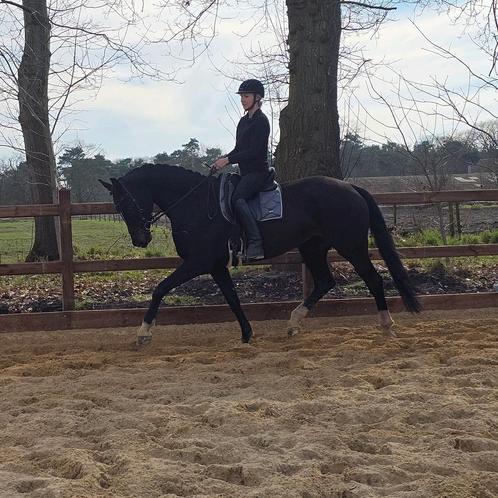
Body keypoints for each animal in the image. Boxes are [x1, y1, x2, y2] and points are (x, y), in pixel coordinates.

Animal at [100, 163, 420, 346]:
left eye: (127, 203)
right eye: (118, 207)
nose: (141, 240)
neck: (194, 204)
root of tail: (351, 187)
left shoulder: (199, 262)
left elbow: (160, 288)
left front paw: (143, 333)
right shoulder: (216, 266)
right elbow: (232, 298)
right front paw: (247, 334)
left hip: (350, 246)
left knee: (373, 280)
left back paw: (387, 327)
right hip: (313, 247)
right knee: (325, 282)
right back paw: (293, 323)